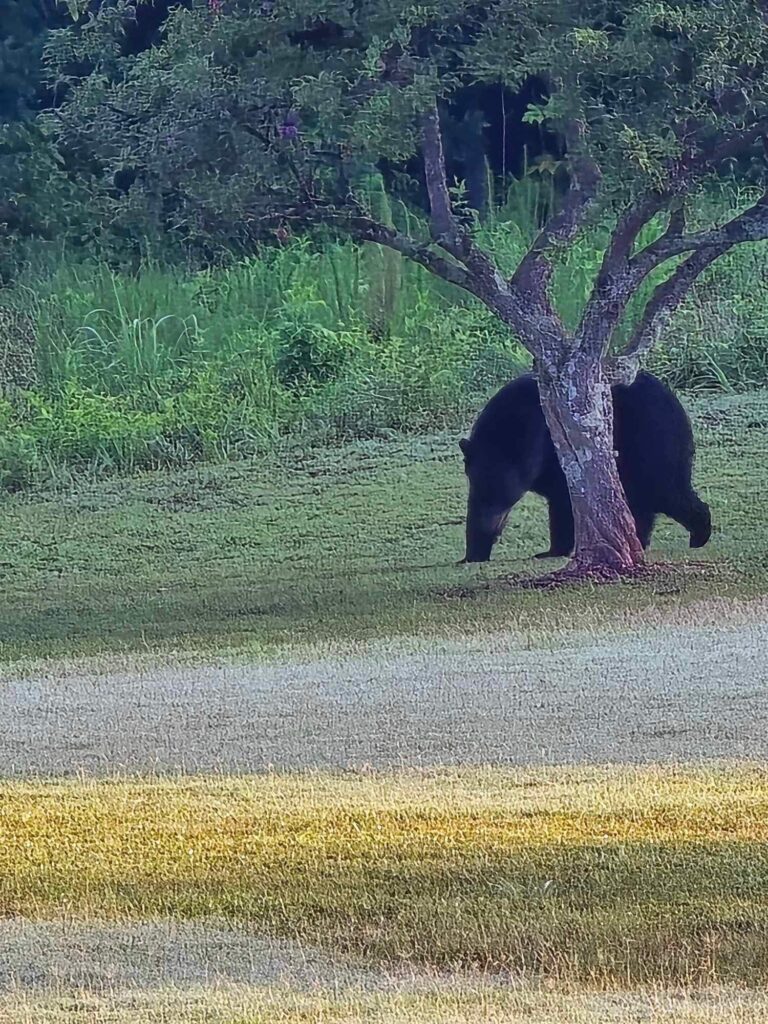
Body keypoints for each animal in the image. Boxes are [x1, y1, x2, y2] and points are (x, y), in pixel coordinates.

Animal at [459, 370, 711, 563]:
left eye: (501, 494)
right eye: (481, 492)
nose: (490, 527)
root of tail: (678, 408)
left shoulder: (557, 452)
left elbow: (563, 502)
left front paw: (552, 551)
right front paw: (473, 552)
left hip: (649, 443)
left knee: (665, 492)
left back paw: (699, 532)